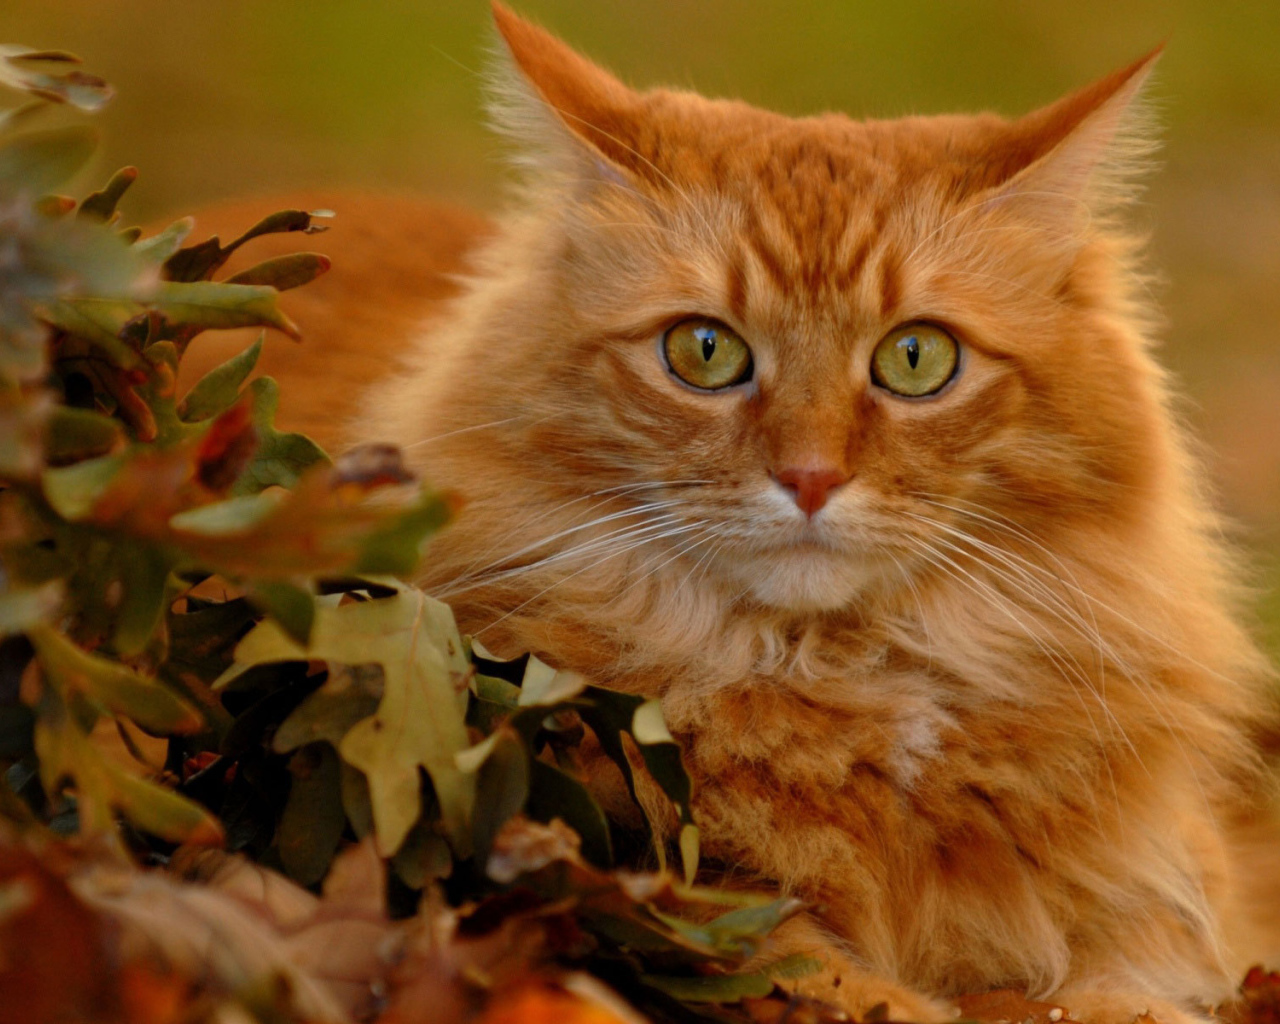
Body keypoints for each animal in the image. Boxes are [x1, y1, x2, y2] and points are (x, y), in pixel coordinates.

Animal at [183, 8, 1280, 1024]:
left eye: (914, 358)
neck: (839, 678)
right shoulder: (660, 894)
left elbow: (1122, 984)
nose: (809, 477)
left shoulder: (1157, 906)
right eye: (704, 352)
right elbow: (843, 985)